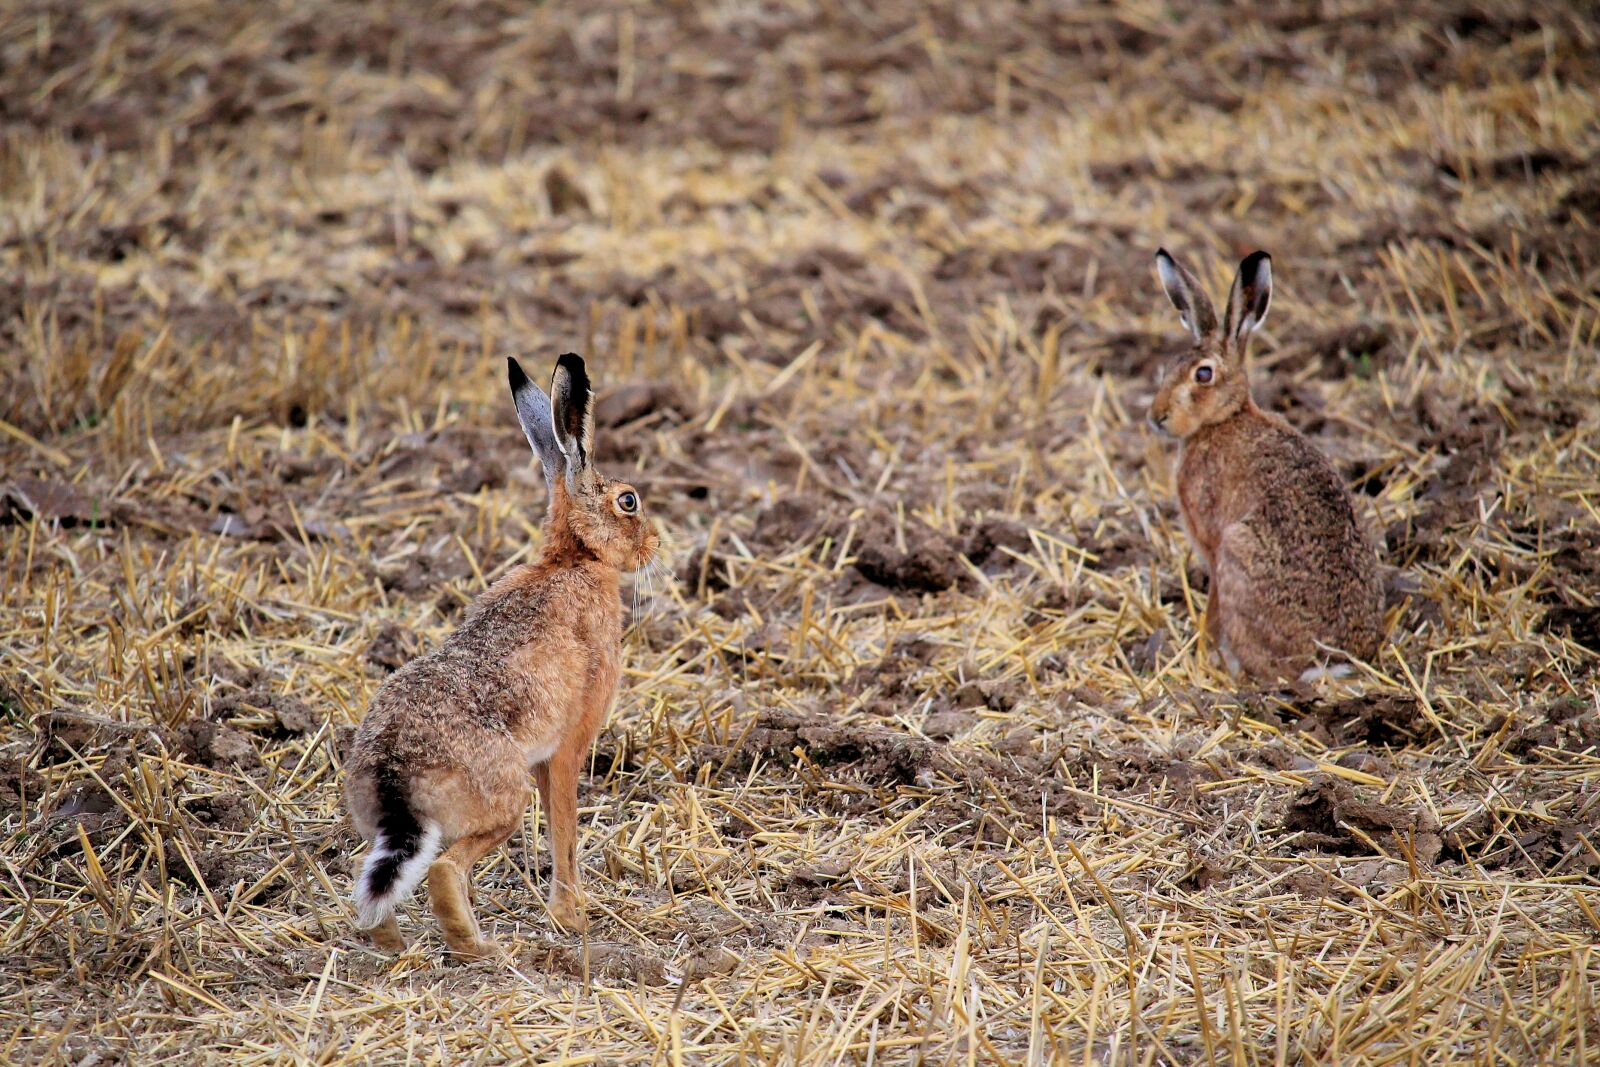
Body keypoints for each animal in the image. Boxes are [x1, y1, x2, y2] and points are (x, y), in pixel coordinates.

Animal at [343, 353, 659, 958]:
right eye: (627, 501)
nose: (654, 545)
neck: (575, 558)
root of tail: (395, 771)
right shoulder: (568, 745)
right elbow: (565, 831)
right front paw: (572, 918)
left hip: (384, 826)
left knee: (371, 881)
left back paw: (395, 946)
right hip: (503, 802)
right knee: (444, 870)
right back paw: (482, 949)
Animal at [1147, 249, 1383, 681]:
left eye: (1203, 374)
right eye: (1169, 366)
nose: (1157, 417)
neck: (1225, 417)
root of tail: (1329, 662)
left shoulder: (1213, 545)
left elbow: (1213, 608)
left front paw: (1202, 649)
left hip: (1237, 549)